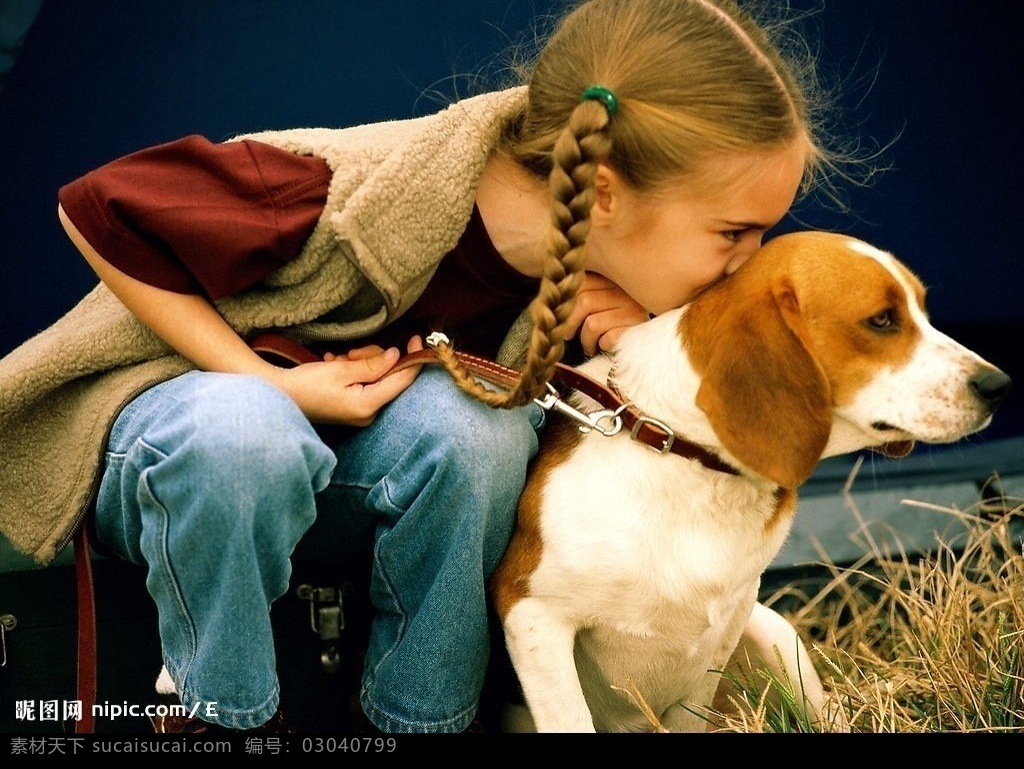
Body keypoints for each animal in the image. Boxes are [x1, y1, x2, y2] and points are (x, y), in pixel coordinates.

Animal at [491, 230, 1011, 733]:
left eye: (923, 311)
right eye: (882, 320)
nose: (999, 386)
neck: (681, 455)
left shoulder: (724, 629)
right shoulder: (533, 615)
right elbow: (570, 717)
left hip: (774, 632)